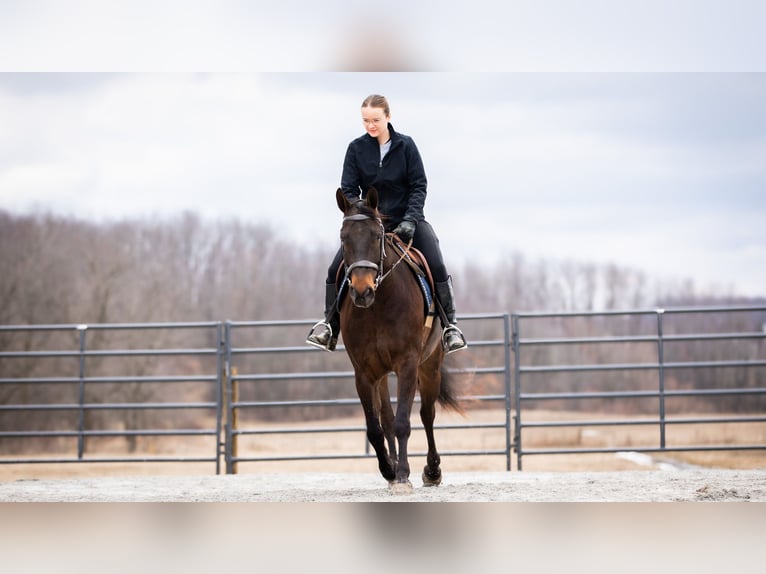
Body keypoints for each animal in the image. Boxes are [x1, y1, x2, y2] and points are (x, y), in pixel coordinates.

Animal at [336, 189, 462, 496]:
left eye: (376, 236)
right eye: (344, 238)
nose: (362, 291)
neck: (378, 305)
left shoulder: (407, 364)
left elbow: (405, 422)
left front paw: (404, 475)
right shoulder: (364, 373)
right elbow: (376, 427)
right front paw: (390, 471)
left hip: (430, 367)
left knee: (427, 414)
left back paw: (432, 471)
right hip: (382, 374)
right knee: (387, 417)